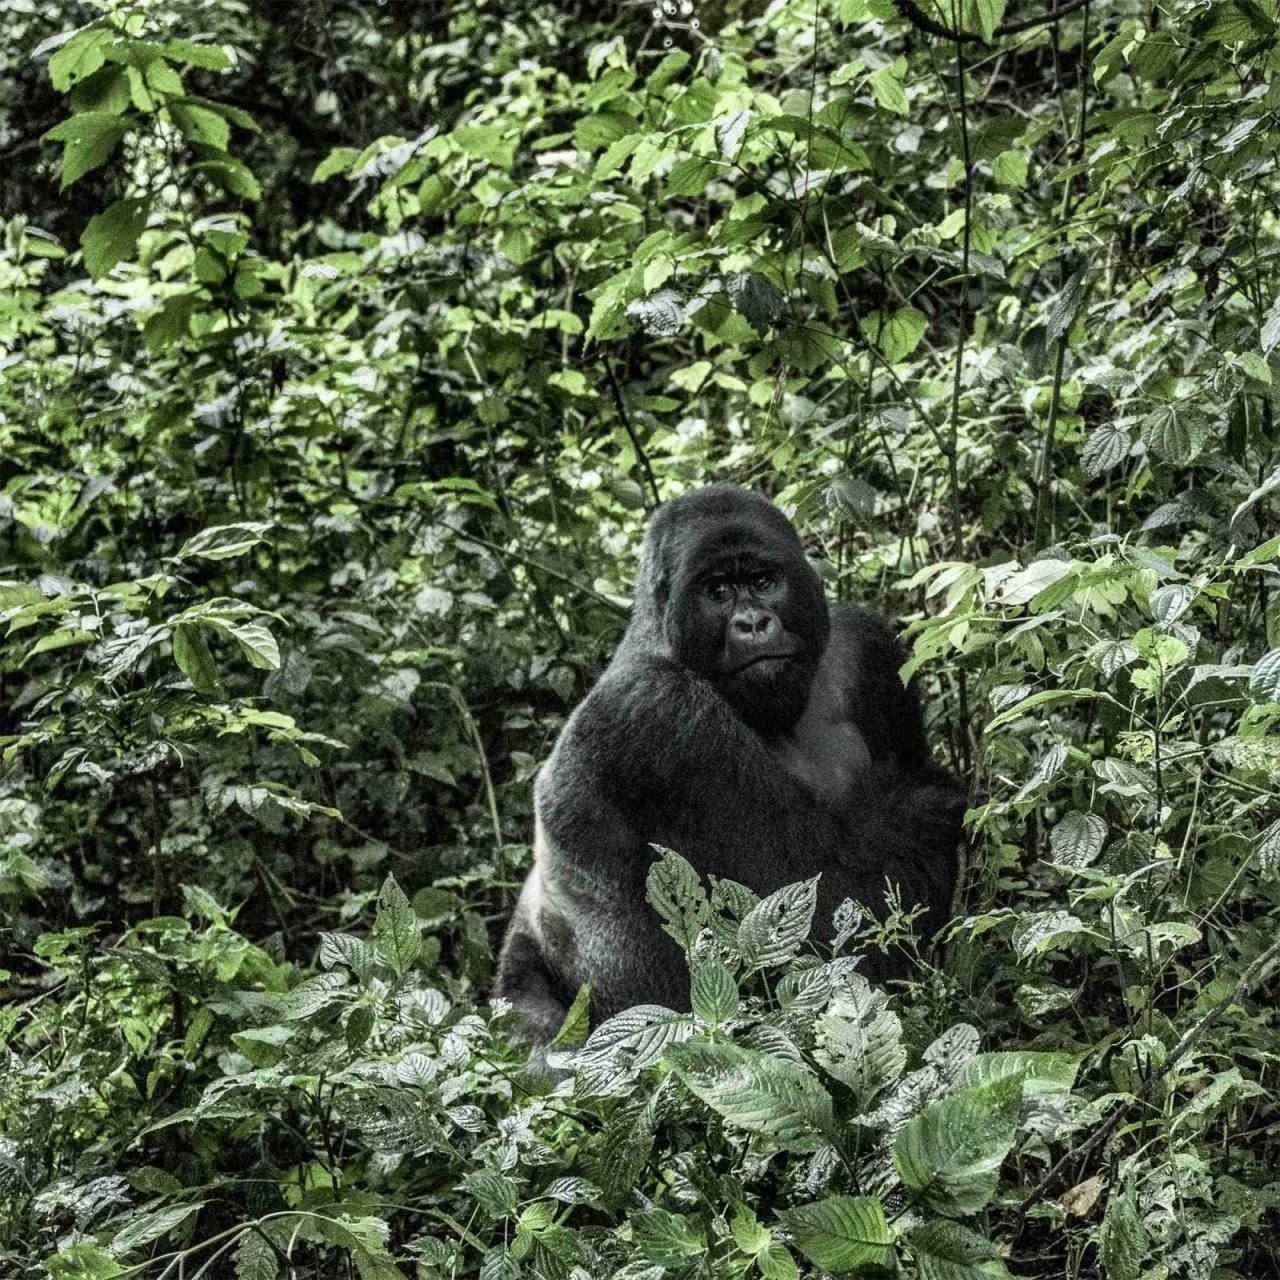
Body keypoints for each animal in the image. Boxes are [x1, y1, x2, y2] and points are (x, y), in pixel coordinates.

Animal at [496, 484, 964, 1044]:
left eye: (762, 581)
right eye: (717, 591)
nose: (753, 623)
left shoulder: (866, 645)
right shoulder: (662, 714)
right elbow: (818, 912)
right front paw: (934, 804)